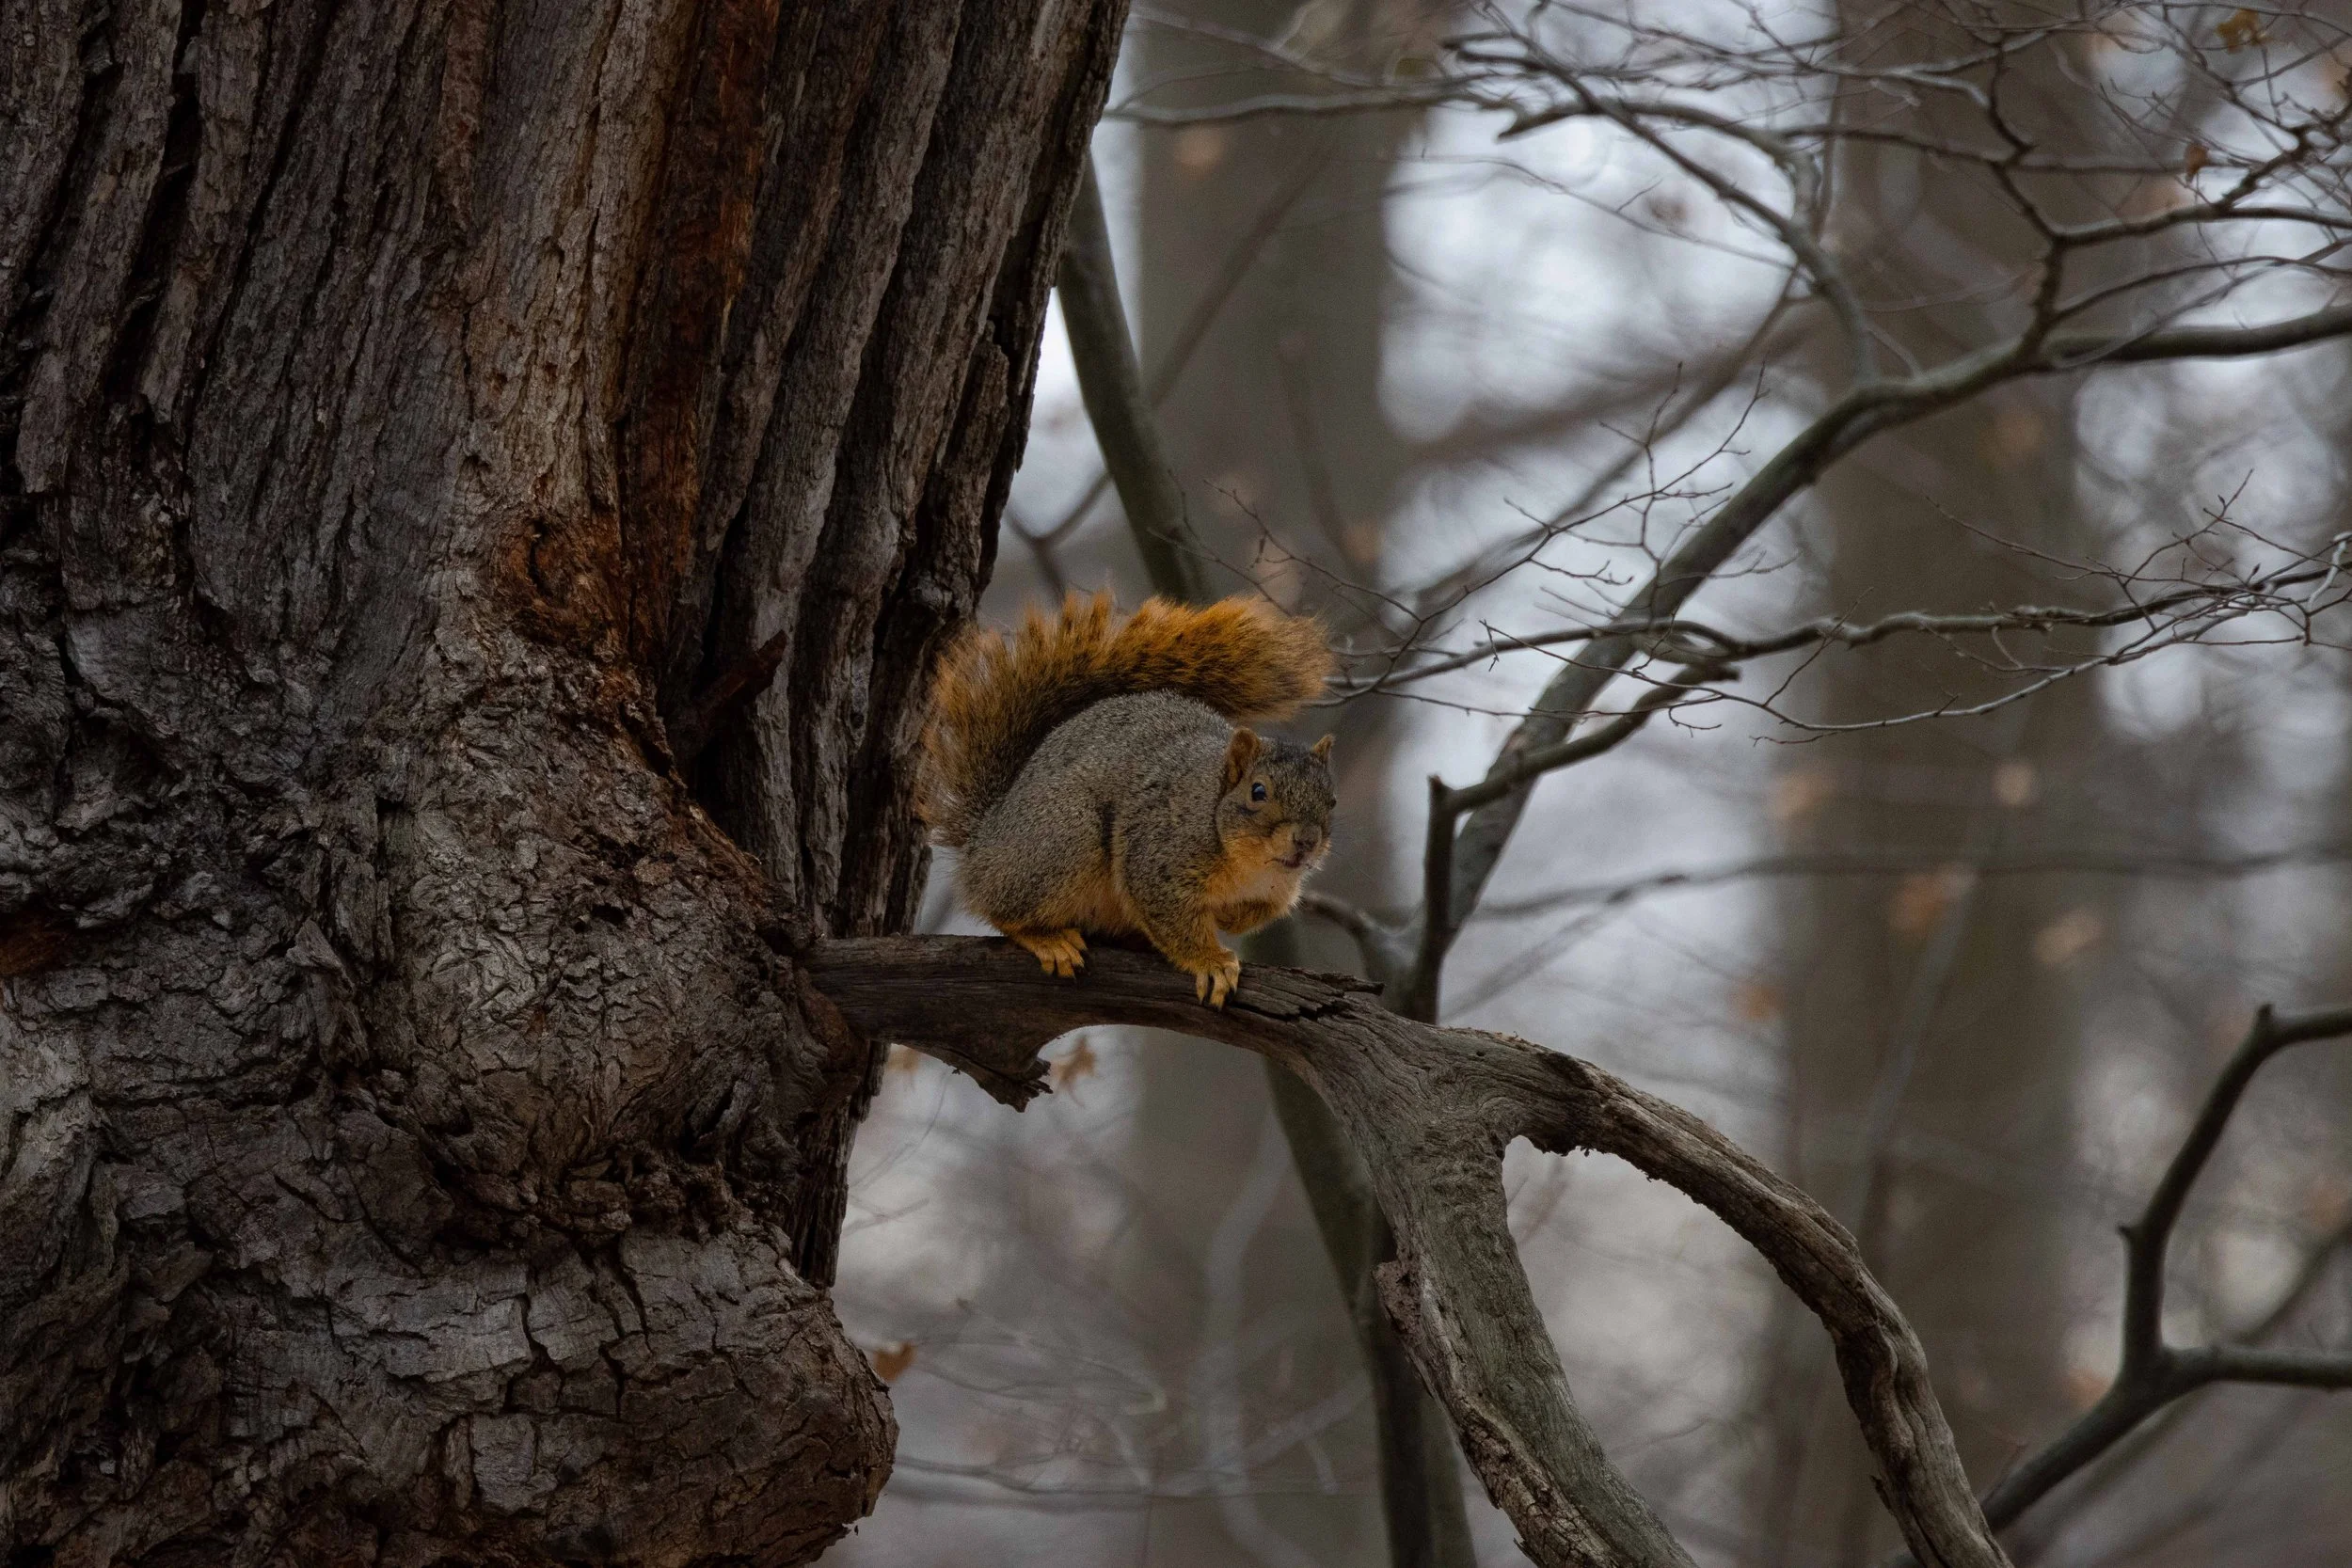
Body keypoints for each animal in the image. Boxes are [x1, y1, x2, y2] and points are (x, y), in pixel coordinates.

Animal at [919, 592, 1336, 1007]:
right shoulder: (1156, 858)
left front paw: (1229, 921)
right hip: (1062, 839)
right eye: (1258, 791)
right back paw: (1047, 939)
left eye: (1331, 800)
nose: (1306, 841)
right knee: (1000, 907)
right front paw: (1210, 960)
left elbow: (1255, 914)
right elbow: (1172, 918)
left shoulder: (1278, 893)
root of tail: (984, 837)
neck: (1251, 865)